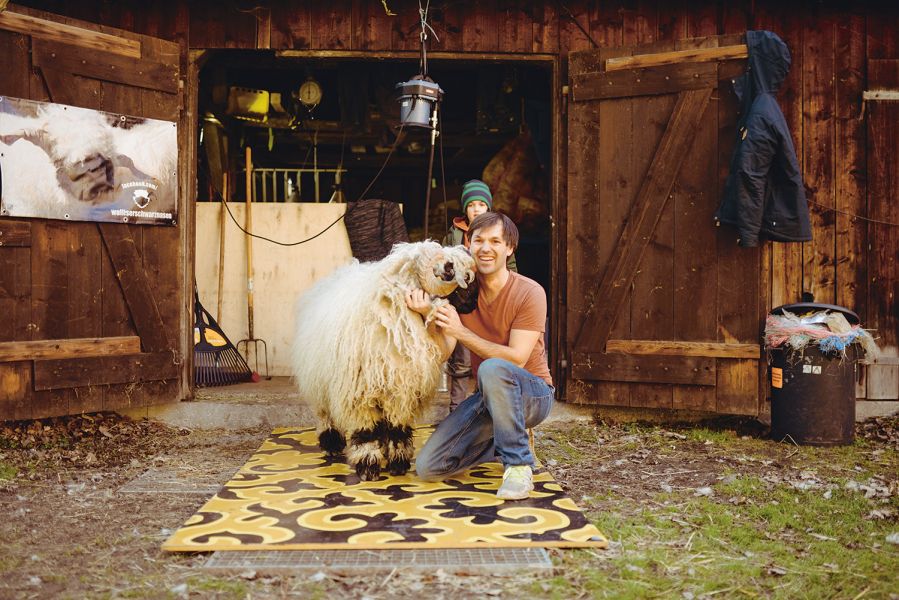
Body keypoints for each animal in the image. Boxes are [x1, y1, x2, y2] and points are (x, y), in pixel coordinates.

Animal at [294, 241, 478, 480]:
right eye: (457, 276)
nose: (474, 303)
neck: (393, 319)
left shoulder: (403, 390)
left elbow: (397, 428)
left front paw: (398, 463)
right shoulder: (360, 393)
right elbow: (366, 432)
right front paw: (368, 466)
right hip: (319, 383)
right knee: (325, 414)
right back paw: (332, 444)